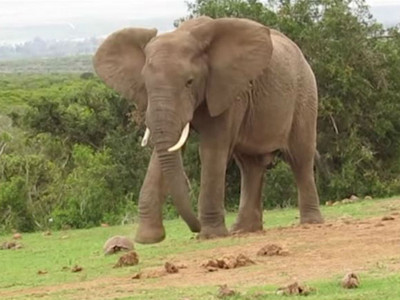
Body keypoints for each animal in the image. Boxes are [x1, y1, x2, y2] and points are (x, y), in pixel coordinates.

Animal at [92, 15, 324, 244]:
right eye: (146, 85)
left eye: (189, 82)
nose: (194, 228)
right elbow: (162, 153)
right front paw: (148, 239)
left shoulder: (227, 91)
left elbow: (212, 151)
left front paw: (210, 235)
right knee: (250, 166)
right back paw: (243, 230)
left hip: (305, 94)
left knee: (300, 158)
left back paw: (311, 223)